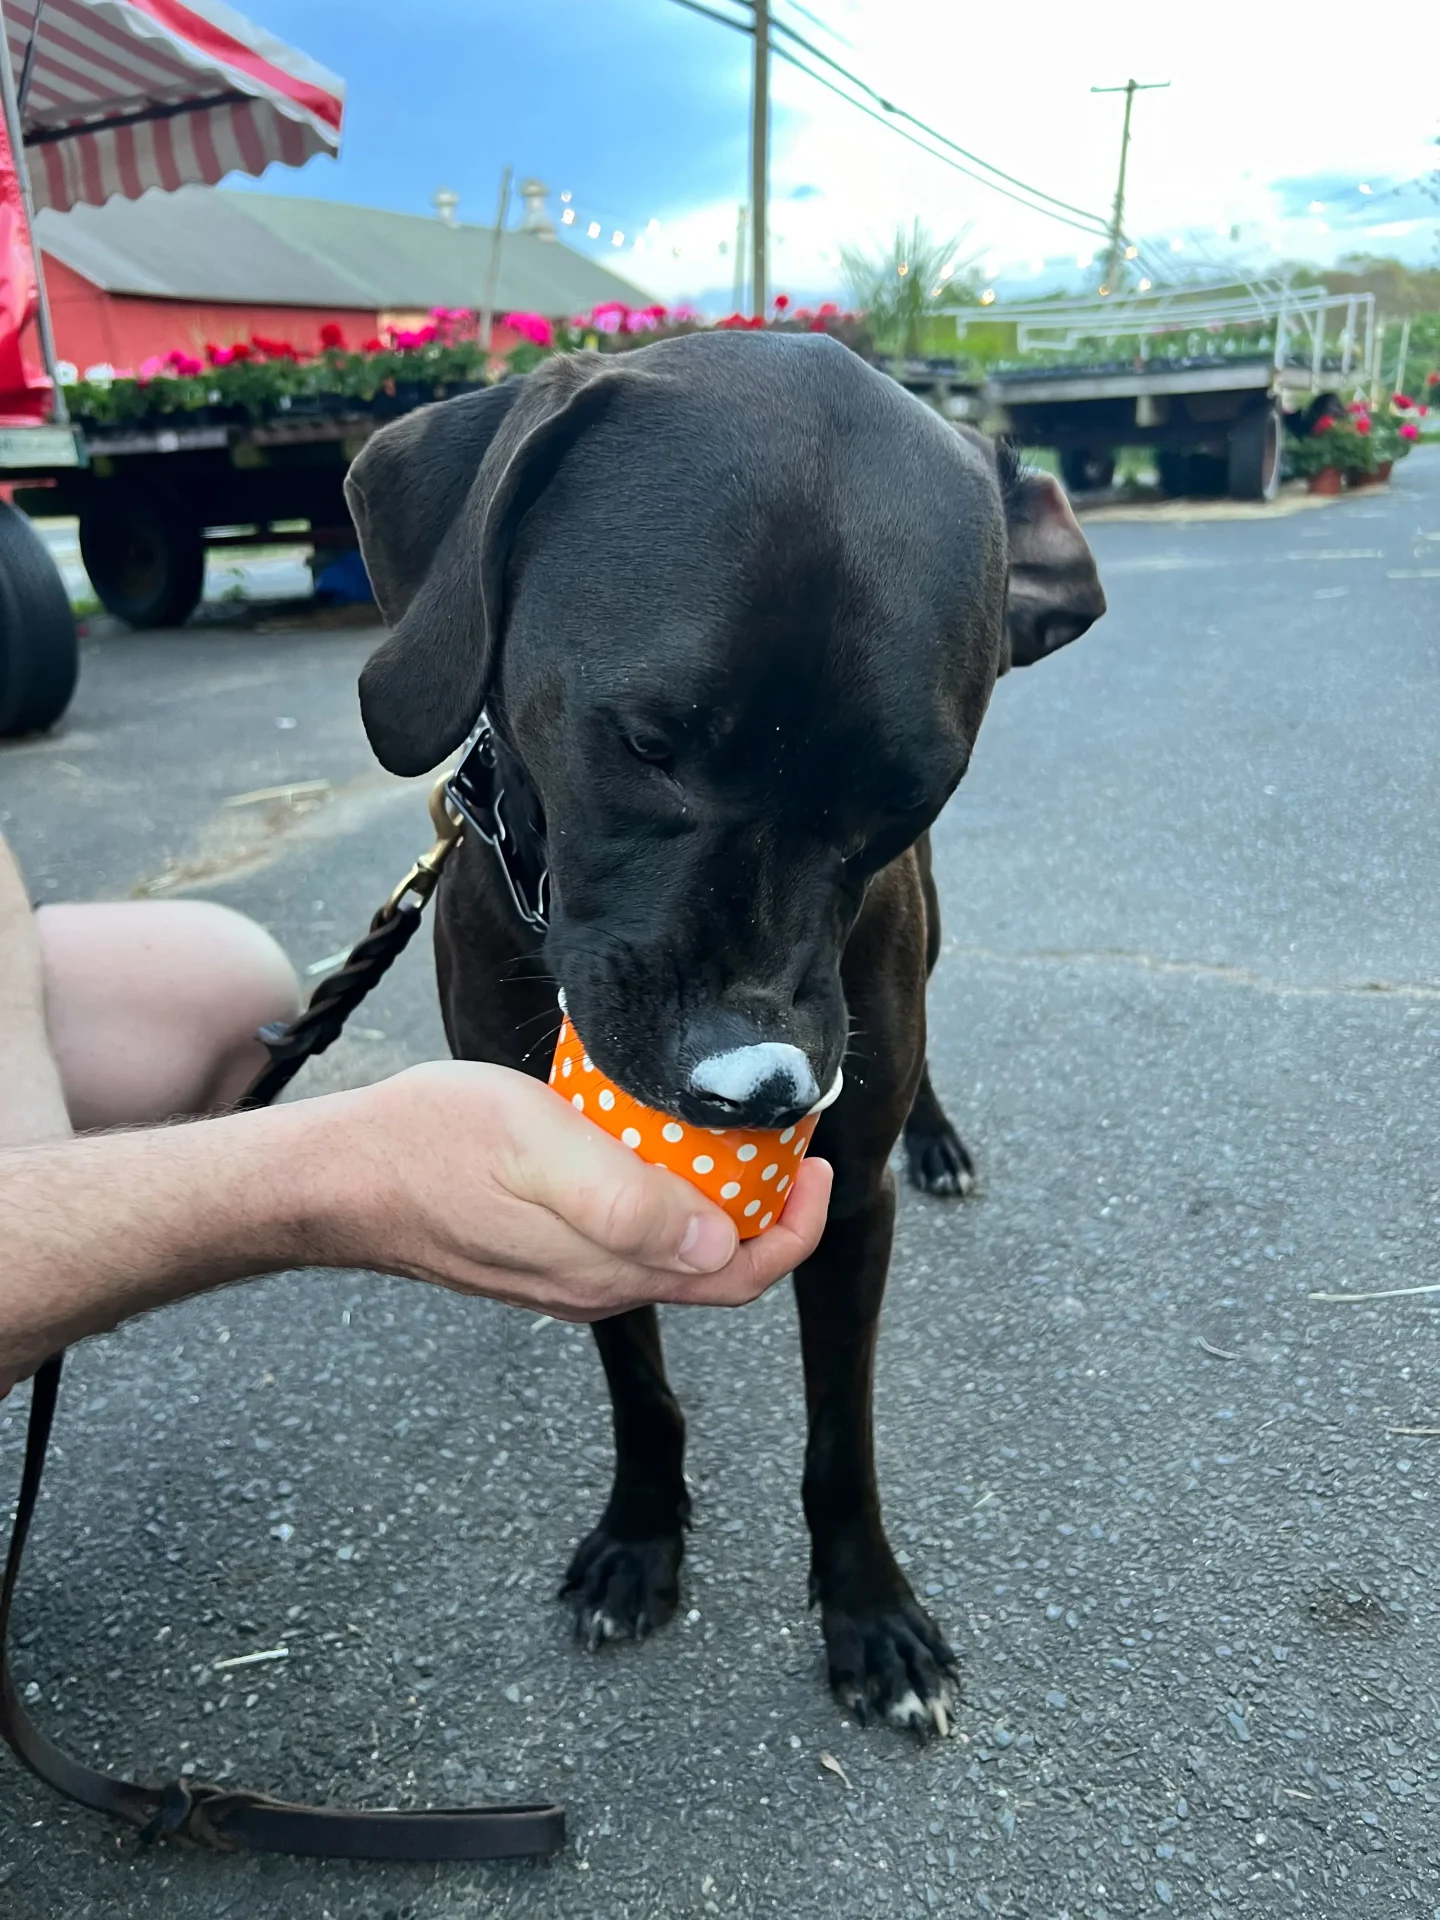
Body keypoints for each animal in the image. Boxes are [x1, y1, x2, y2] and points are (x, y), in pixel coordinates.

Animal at [349, 334, 1105, 1743]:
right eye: (650, 741)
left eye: (910, 796)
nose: (755, 1091)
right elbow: (641, 1392)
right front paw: (641, 1540)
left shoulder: (850, 1204)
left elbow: (841, 1435)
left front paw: (869, 1612)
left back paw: (942, 1139)